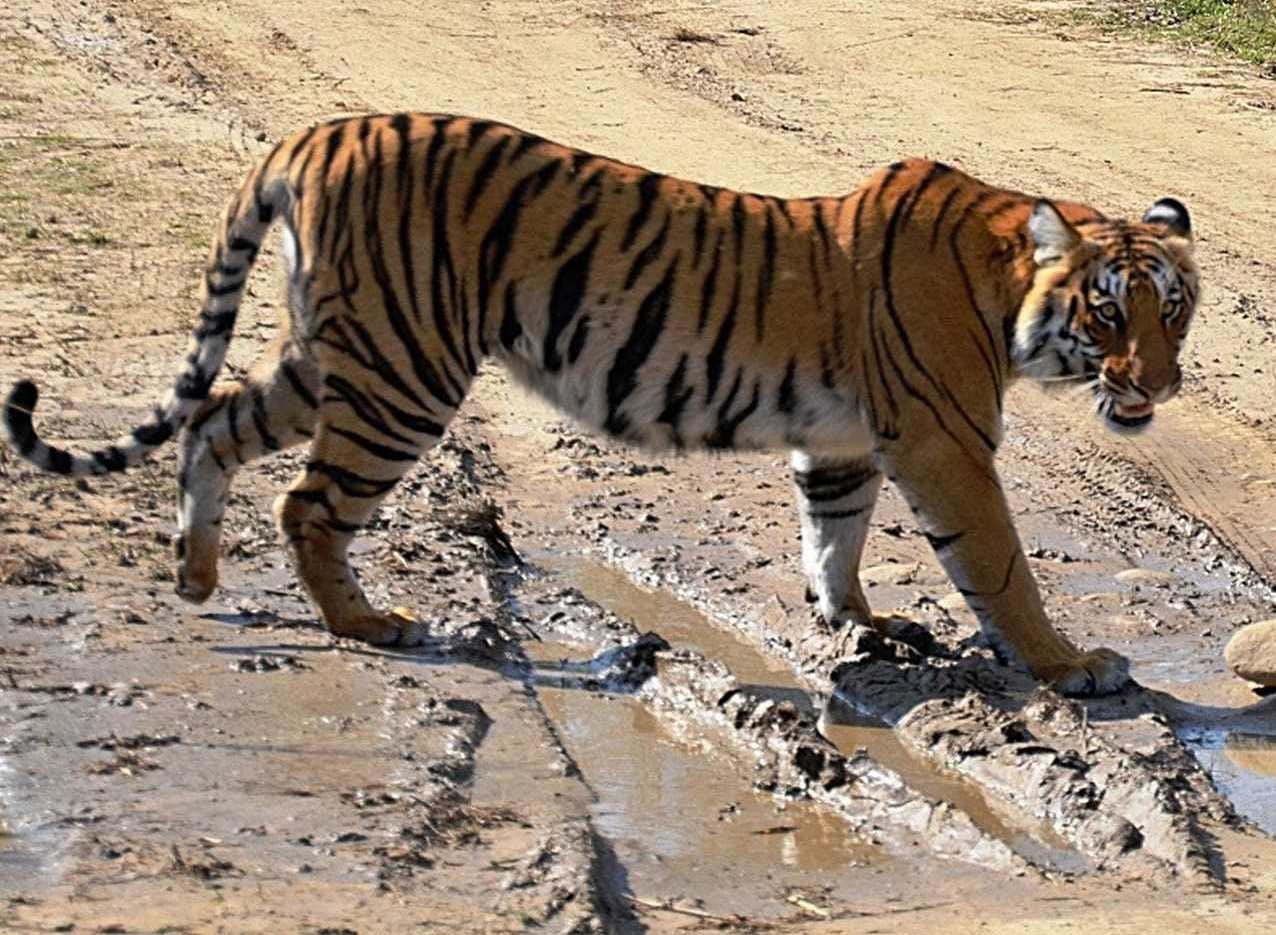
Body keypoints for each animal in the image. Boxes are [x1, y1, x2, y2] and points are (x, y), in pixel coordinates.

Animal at [2, 113, 1198, 696]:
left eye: (1173, 310)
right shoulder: (945, 441)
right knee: (309, 502)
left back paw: (196, 576)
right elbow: (998, 563)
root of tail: (311, 135)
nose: (1157, 386)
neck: (1003, 285)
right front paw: (1069, 666)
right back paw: (371, 624)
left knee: (215, 421)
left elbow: (835, 536)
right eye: (1105, 315)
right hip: (403, 369)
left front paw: (855, 621)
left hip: (333, 352)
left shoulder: (844, 440)